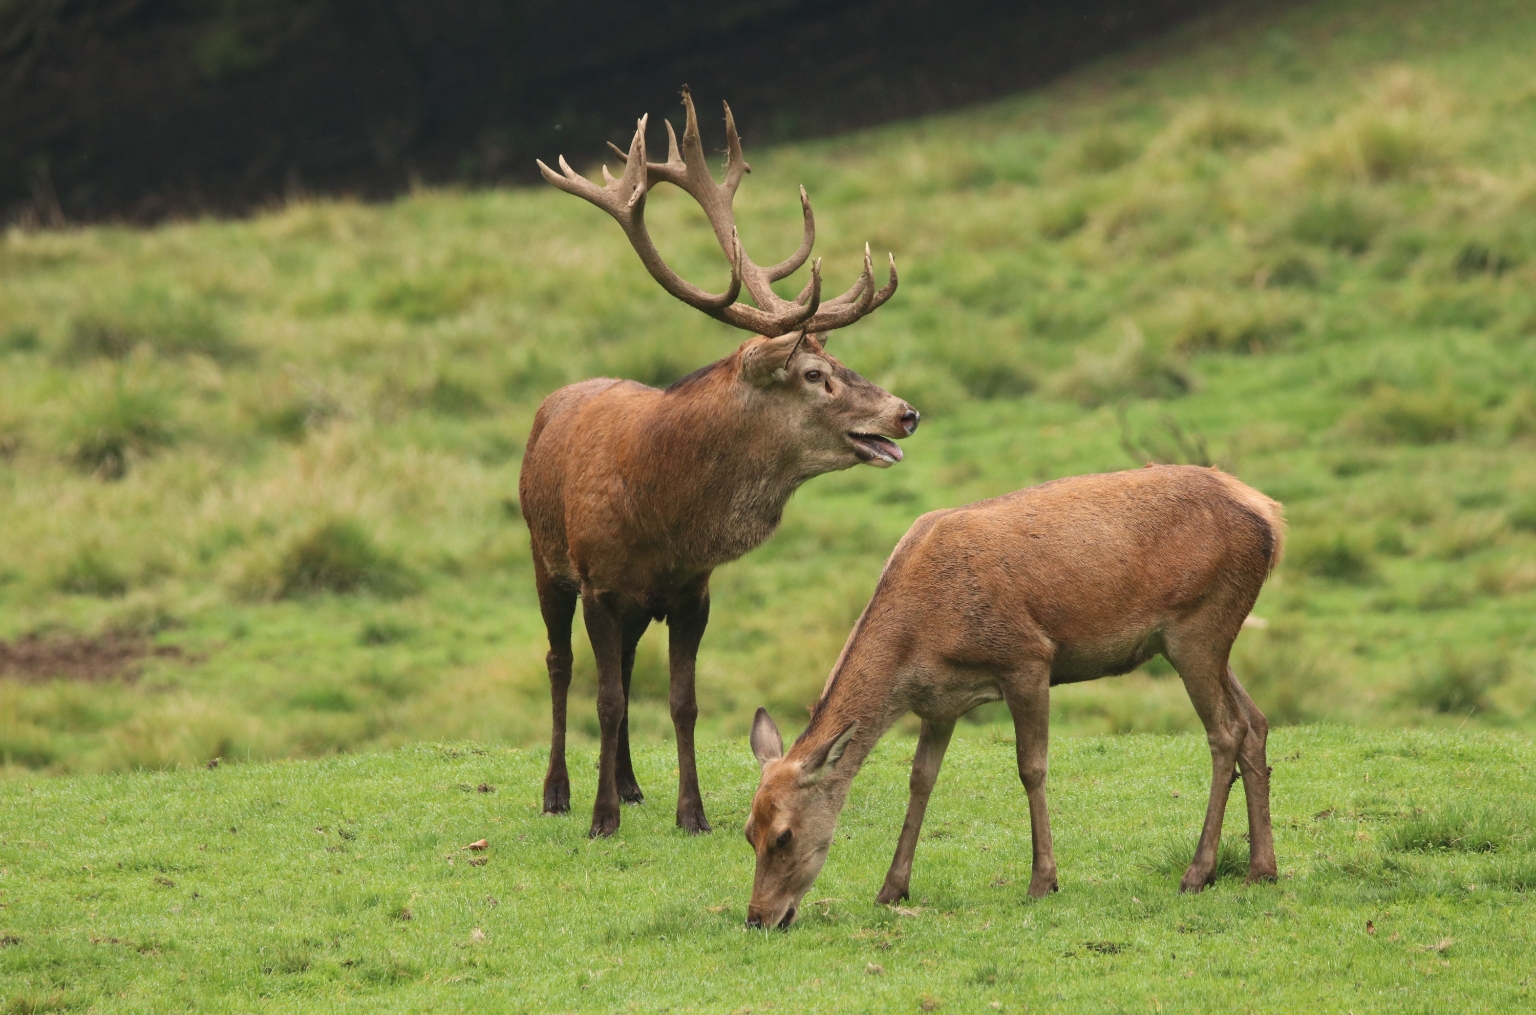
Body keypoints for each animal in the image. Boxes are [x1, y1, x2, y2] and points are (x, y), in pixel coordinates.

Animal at [522, 90, 915, 841]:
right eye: (814, 373)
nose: (905, 412)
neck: (661, 513)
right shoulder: (598, 582)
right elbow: (605, 698)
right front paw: (600, 819)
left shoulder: (690, 591)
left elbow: (681, 701)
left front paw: (691, 812)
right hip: (544, 557)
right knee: (560, 665)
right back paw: (559, 791)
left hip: (635, 606)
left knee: (627, 666)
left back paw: (631, 784)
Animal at [743, 466, 1284, 927]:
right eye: (749, 832)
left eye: (784, 836)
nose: (758, 917)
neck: (919, 641)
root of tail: (1272, 518)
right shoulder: (940, 704)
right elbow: (921, 780)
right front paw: (892, 888)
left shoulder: (1026, 659)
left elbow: (1031, 767)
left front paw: (1043, 880)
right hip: (1204, 639)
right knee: (1255, 721)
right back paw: (1262, 869)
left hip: (1197, 625)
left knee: (1226, 731)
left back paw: (1198, 872)